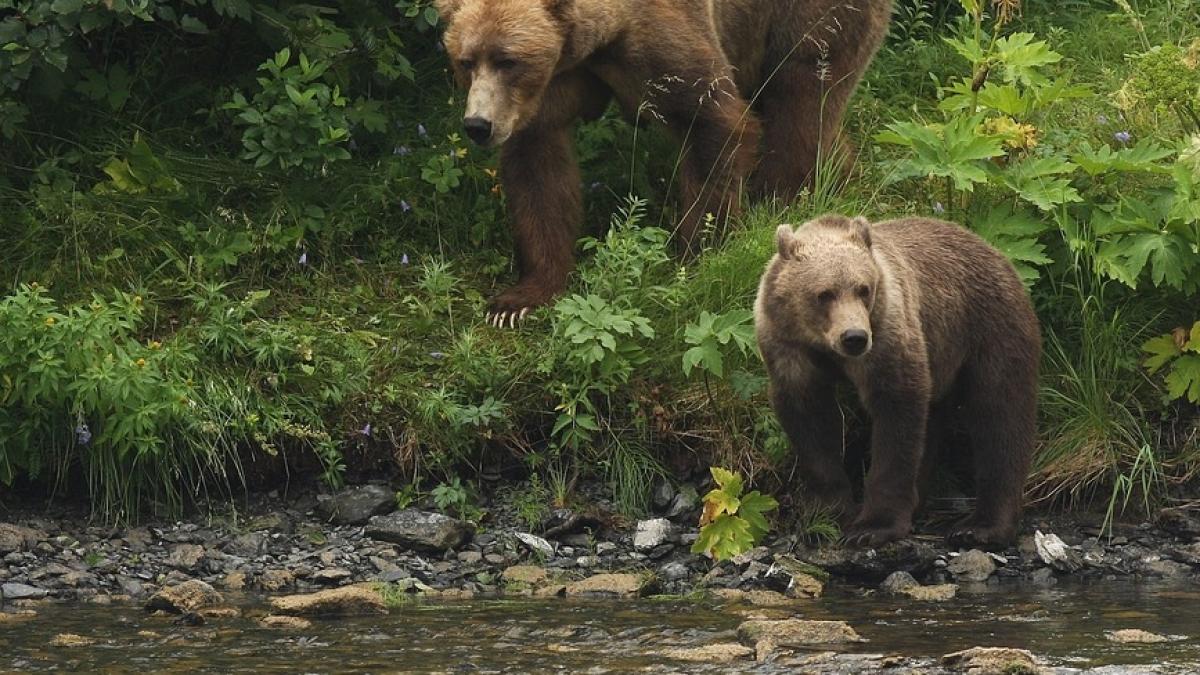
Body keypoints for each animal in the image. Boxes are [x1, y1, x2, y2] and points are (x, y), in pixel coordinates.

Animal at [436, 0, 897, 326]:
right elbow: (539, 167)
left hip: (807, 16)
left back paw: (788, 202)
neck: (601, 40)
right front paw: (518, 300)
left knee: (800, 91)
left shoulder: (661, 42)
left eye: (507, 60)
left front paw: (696, 254)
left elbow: (714, 122)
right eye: (465, 60)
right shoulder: (557, 81)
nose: (477, 124)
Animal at [758, 212, 1041, 550]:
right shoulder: (788, 346)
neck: (823, 346)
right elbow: (810, 421)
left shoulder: (887, 334)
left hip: (989, 328)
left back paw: (981, 526)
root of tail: (994, 250)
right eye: (824, 294)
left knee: (999, 415)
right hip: (942, 352)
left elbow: (896, 416)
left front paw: (872, 526)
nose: (854, 337)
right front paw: (828, 513)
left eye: (863, 289)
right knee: (936, 420)